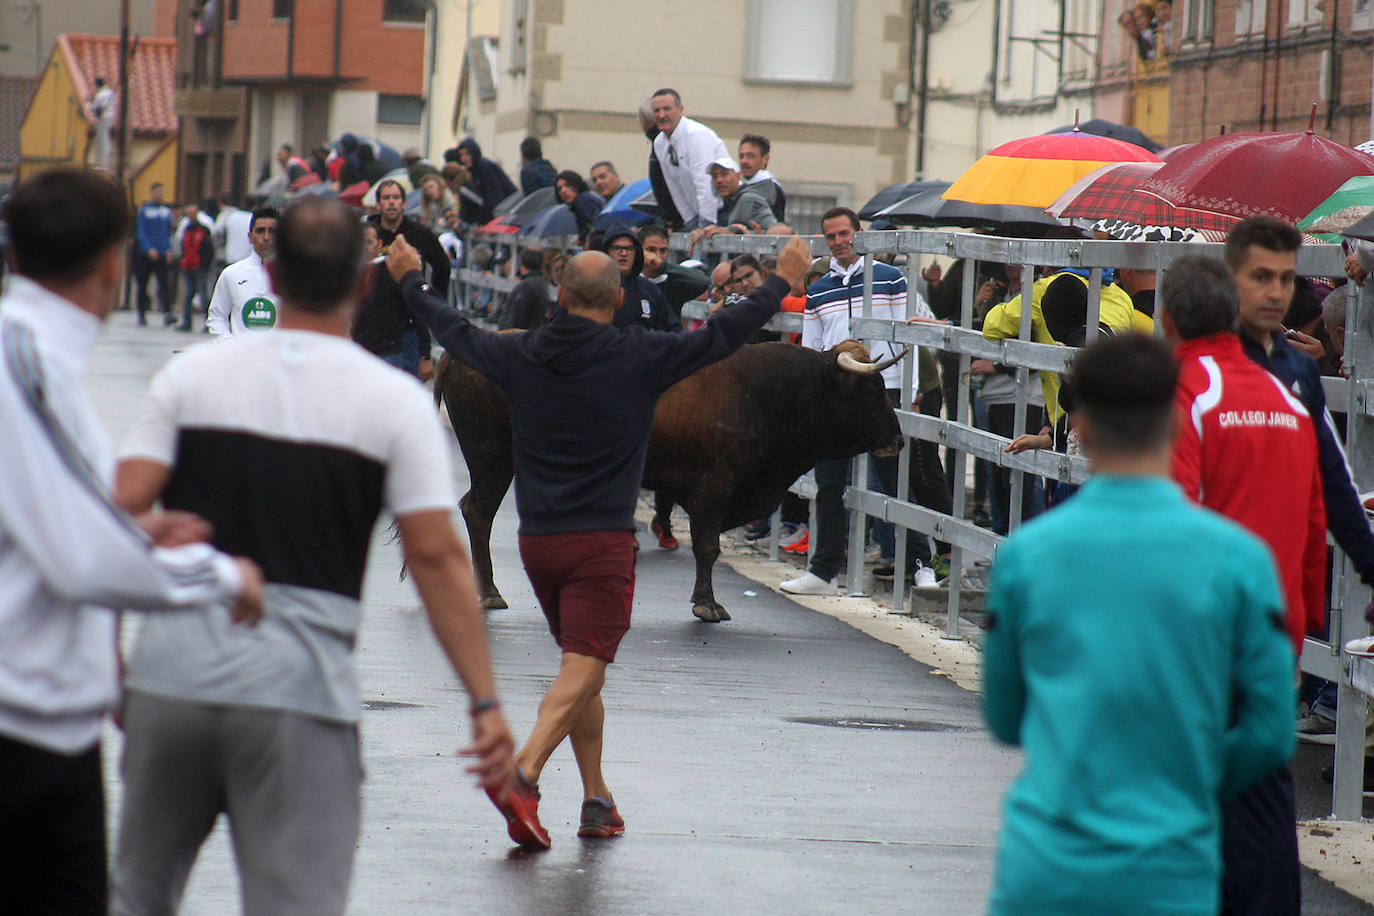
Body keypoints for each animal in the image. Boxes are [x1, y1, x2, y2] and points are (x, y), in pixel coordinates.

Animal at [439, 339, 906, 623]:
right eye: (871, 390)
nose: (898, 441)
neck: (765, 393)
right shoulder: (711, 492)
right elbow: (707, 548)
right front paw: (707, 603)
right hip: (492, 459)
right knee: (477, 512)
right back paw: (489, 592)